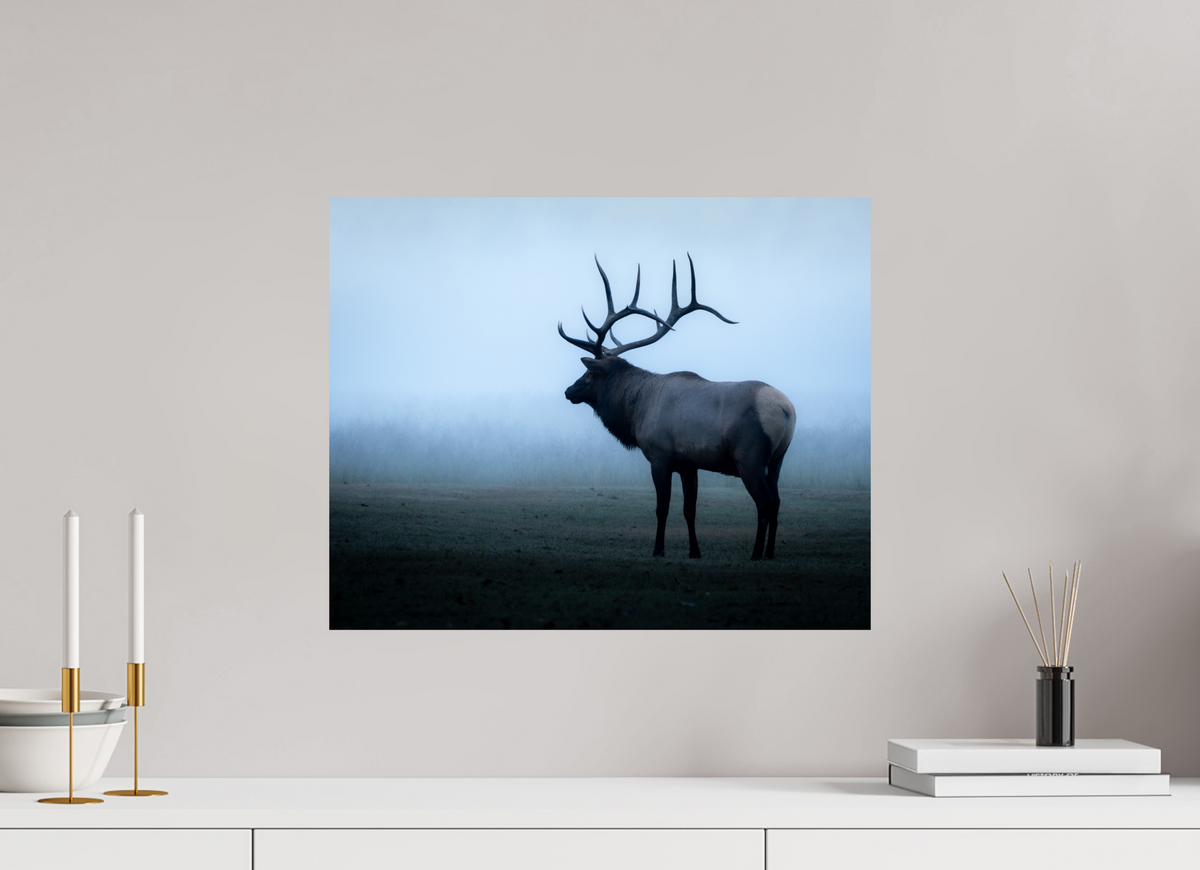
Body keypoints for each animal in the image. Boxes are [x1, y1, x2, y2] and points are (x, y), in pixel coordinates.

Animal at [559, 255, 796, 561]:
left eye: (589, 374)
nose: (568, 391)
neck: (636, 410)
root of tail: (787, 409)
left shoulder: (660, 457)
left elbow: (662, 508)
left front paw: (658, 549)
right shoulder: (689, 464)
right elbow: (689, 510)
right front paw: (695, 551)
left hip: (750, 458)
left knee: (765, 502)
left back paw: (756, 554)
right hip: (777, 459)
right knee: (777, 501)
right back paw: (769, 553)